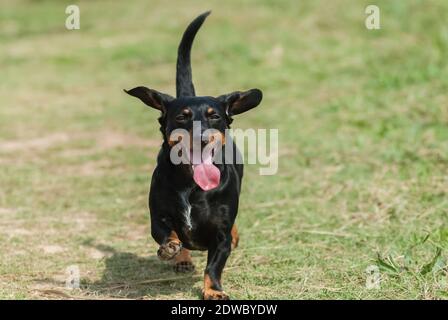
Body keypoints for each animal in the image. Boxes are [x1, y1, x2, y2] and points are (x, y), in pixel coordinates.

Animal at [124, 10, 262, 300]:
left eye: (215, 116)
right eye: (182, 117)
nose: (202, 138)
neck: (191, 185)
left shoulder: (220, 236)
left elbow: (214, 266)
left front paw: (214, 290)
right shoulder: (158, 216)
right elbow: (167, 232)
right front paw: (171, 248)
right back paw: (182, 257)